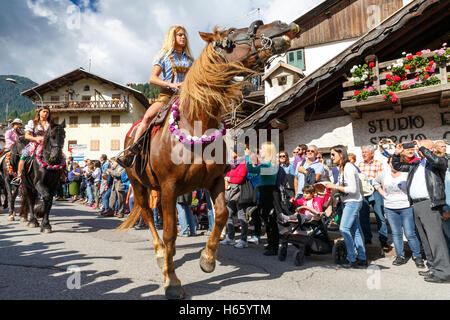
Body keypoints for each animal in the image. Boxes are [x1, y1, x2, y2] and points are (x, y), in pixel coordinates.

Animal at [117, 20, 298, 300]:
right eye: (231, 35)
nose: (281, 24)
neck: (195, 123)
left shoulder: (214, 182)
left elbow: (221, 215)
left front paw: (208, 258)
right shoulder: (168, 188)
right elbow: (170, 233)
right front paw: (172, 282)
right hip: (139, 186)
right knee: (147, 214)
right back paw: (160, 254)